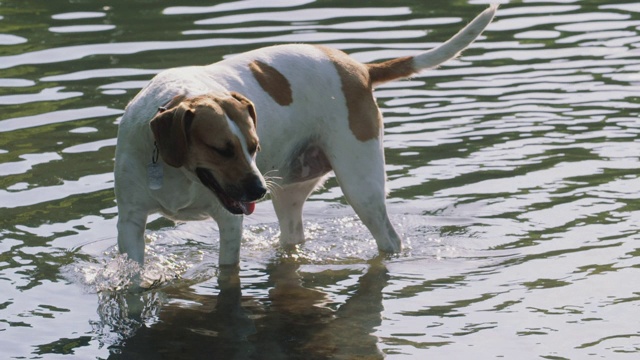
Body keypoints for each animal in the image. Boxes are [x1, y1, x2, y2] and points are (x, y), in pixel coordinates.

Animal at [114, 4, 496, 266]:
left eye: (253, 147)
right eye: (221, 149)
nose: (257, 189)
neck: (175, 169)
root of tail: (359, 69)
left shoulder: (229, 221)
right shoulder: (130, 222)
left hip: (361, 187)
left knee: (388, 238)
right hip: (288, 191)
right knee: (293, 235)